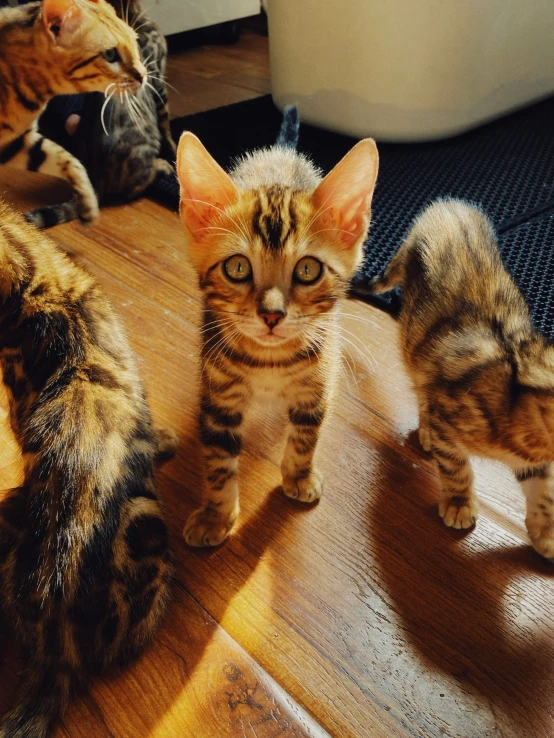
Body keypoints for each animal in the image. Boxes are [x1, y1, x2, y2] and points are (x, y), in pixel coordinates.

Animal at [0, 0, 146, 227]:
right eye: (110, 54)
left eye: (135, 40)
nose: (144, 75)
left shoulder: (16, 141)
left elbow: (66, 159)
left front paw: (87, 201)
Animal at [175, 123, 378, 544]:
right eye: (237, 267)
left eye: (307, 270)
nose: (271, 314)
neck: (269, 361)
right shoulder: (218, 396)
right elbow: (218, 459)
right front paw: (217, 515)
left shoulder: (318, 384)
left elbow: (305, 436)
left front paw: (298, 477)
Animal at [370, 198, 554, 556]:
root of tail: (448, 204)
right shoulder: (448, 417)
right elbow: (457, 469)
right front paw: (458, 504)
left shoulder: (535, 461)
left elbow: (543, 494)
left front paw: (546, 533)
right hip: (415, 344)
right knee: (421, 387)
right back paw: (425, 431)